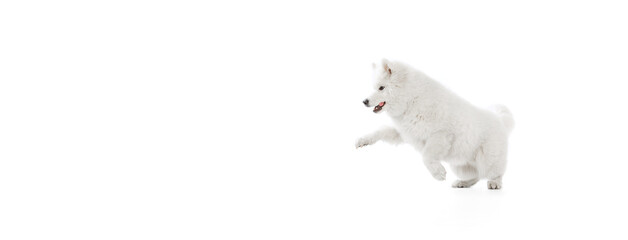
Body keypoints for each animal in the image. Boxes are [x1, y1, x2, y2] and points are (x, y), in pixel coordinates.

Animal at [356, 59, 512, 190]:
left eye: (381, 88)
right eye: (374, 87)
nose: (364, 101)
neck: (411, 99)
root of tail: (501, 121)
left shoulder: (440, 135)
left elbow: (426, 156)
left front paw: (438, 173)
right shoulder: (404, 133)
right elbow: (380, 132)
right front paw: (363, 141)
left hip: (487, 160)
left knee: (495, 173)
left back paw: (494, 183)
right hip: (461, 164)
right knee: (476, 175)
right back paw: (462, 183)